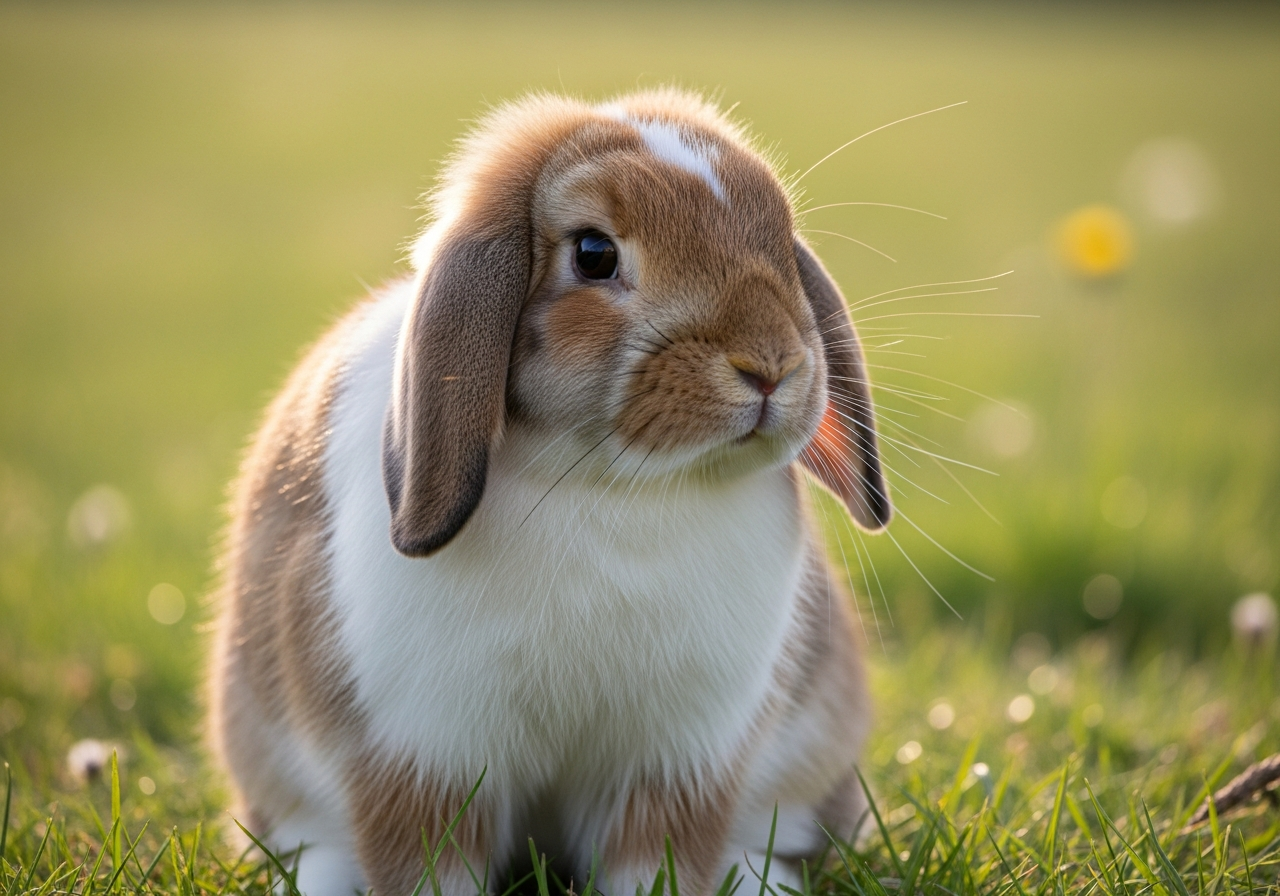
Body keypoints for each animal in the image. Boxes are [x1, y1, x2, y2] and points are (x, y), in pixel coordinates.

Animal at [208, 88, 891, 896]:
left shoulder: (677, 766)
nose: (770, 366)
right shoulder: (421, 760)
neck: (610, 481)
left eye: (783, 243)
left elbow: (654, 866)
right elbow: (428, 867)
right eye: (594, 253)